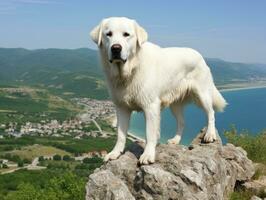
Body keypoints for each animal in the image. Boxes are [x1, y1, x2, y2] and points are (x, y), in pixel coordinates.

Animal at [90, 16, 228, 164]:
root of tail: (200, 56)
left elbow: (150, 134)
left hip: (202, 94)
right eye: (108, 34)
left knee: (211, 113)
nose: (116, 48)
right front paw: (115, 153)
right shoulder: (122, 108)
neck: (131, 70)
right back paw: (175, 140)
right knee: (182, 122)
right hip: (175, 104)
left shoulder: (150, 107)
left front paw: (148, 155)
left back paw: (210, 134)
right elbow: (121, 135)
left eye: (126, 34)